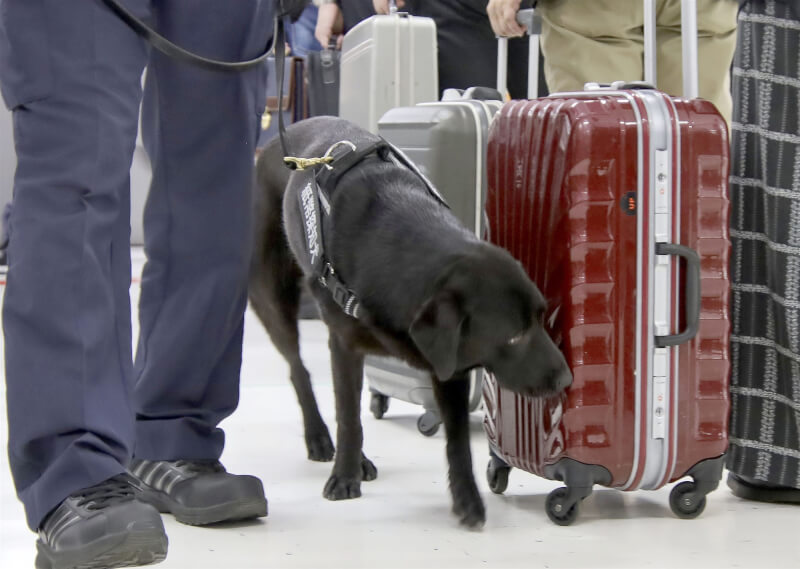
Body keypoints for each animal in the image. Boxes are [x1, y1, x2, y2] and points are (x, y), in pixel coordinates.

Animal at [248, 116, 568, 528]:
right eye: (514, 337)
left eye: (541, 318)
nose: (567, 379)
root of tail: (277, 142)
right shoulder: (344, 345)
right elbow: (349, 417)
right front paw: (345, 476)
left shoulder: (451, 363)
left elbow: (458, 442)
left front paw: (467, 499)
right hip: (272, 297)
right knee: (298, 370)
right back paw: (320, 439)